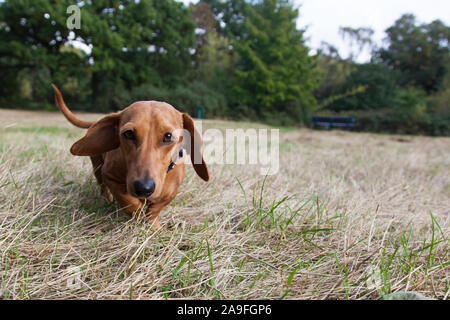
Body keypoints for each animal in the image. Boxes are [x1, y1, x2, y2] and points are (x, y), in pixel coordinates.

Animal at [51, 84, 210, 230]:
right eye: (128, 133)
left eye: (168, 136)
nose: (144, 188)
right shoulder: (110, 176)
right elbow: (129, 202)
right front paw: (137, 216)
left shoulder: (171, 191)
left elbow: (155, 208)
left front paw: (153, 225)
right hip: (97, 168)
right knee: (102, 186)